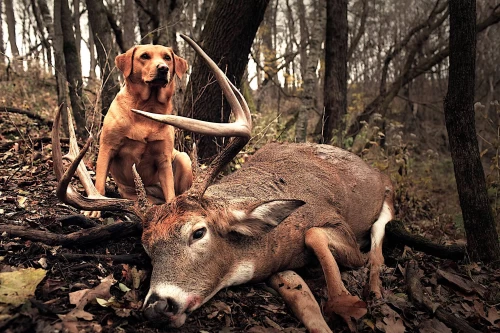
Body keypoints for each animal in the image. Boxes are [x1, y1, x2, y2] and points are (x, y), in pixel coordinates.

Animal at [86, 44, 191, 217]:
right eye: (145, 56)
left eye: (167, 57)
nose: (163, 68)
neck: (147, 108)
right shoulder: (107, 148)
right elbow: (100, 181)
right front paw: (94, 208)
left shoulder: (163, 158)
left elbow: (170, 192)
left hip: (184, 158)